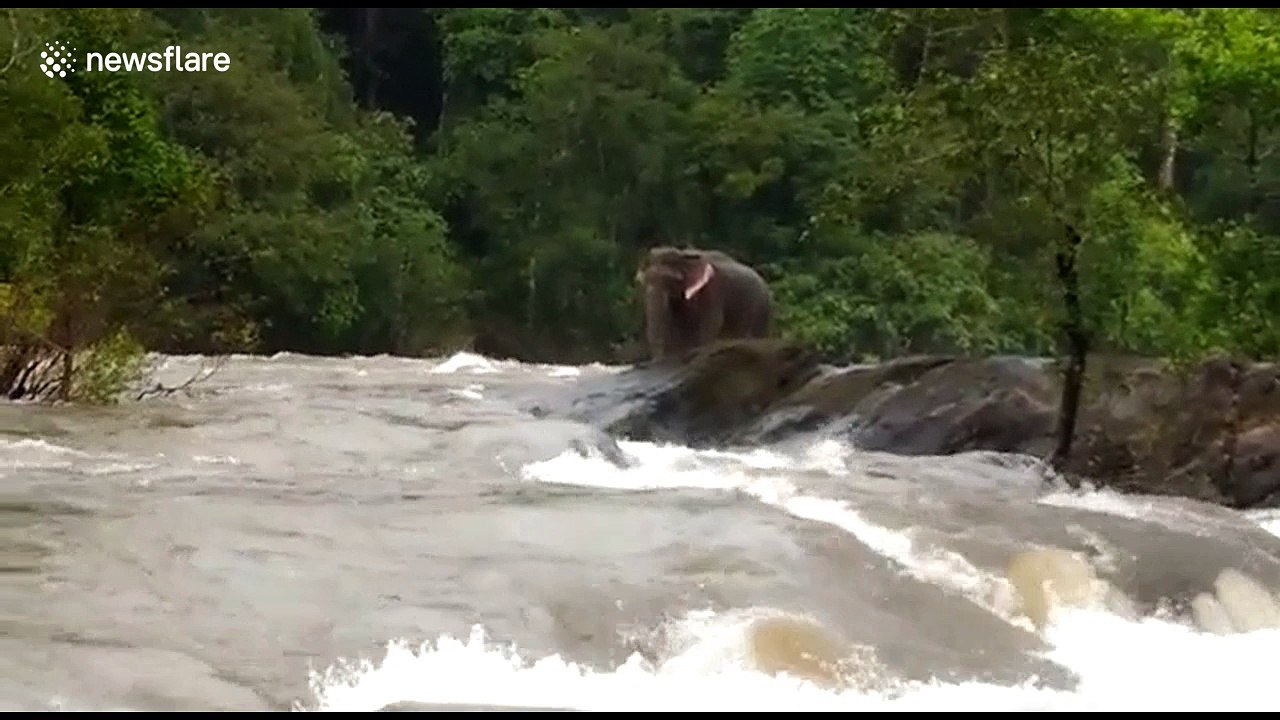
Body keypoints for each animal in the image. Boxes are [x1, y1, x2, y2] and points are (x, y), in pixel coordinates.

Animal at [634, 246, 774, 362]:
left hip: (762, 310)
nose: (657, 359)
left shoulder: (713, 290)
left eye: (671, 281)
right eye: (645, 281)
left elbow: (711, 322)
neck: (683, 255)